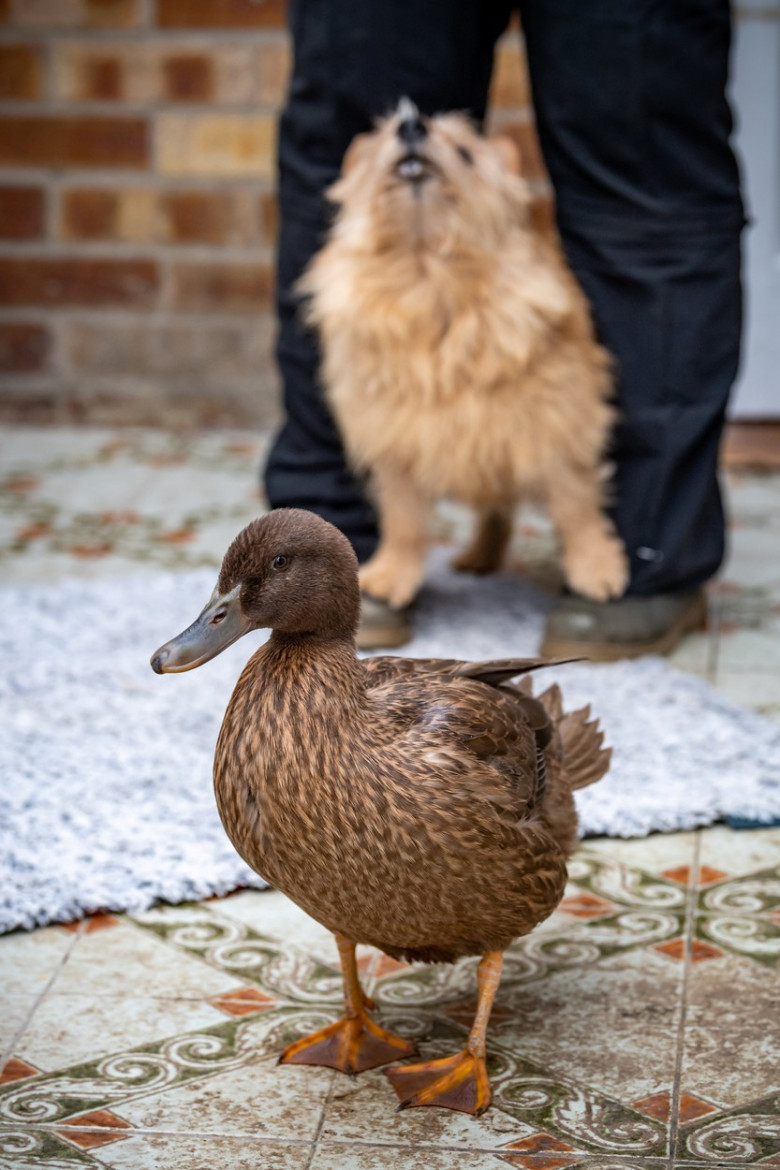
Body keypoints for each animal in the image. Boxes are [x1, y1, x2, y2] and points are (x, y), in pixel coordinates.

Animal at [299, 99, 626, 608]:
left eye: (466, 153)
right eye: (388, 135)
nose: (411, 124)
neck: (429, 277)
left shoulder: (558, 426)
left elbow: (576, 505)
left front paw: (595, 567)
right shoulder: (396, 440)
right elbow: (403, 519)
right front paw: (391, 575)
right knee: (496, 510)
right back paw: (479, 557)